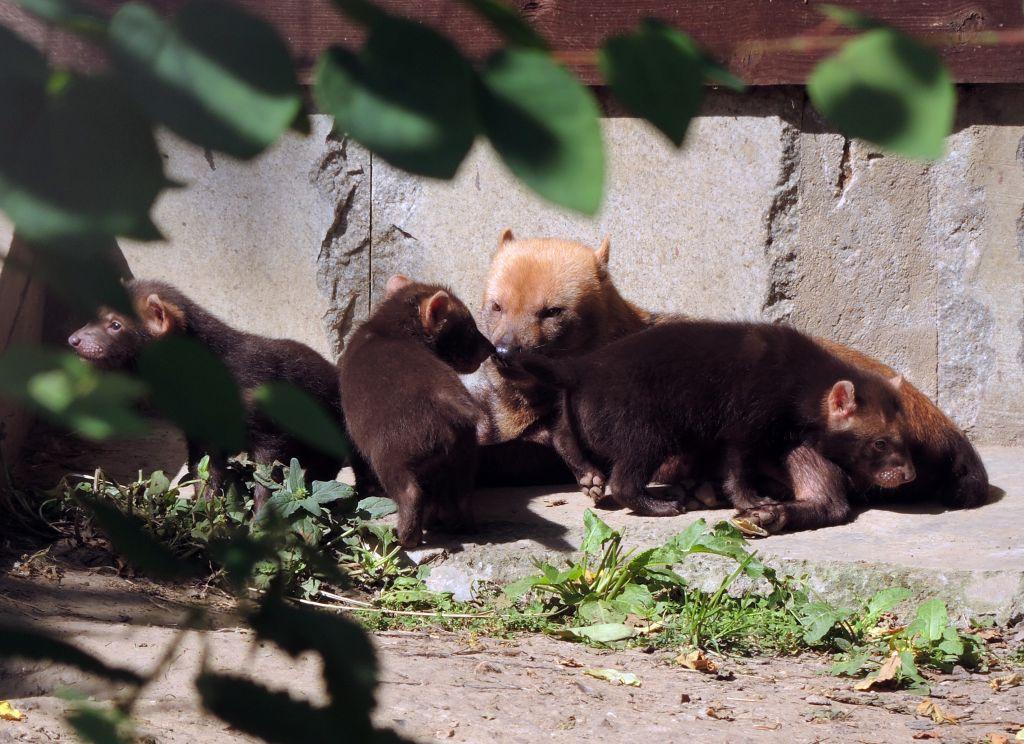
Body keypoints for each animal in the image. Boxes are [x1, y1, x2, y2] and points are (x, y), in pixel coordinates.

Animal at [512, 319, 921, 528]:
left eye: (904, 434)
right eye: (880, 442)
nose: (909, 475)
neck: (797, 375)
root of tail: (582, 367)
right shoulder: (745, 424)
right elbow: (737, 471)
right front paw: (753, 500)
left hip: (583, 415)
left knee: (563, 434)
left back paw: (590, 478)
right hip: (646, 434)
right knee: (625, 482)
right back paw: (661, 504)